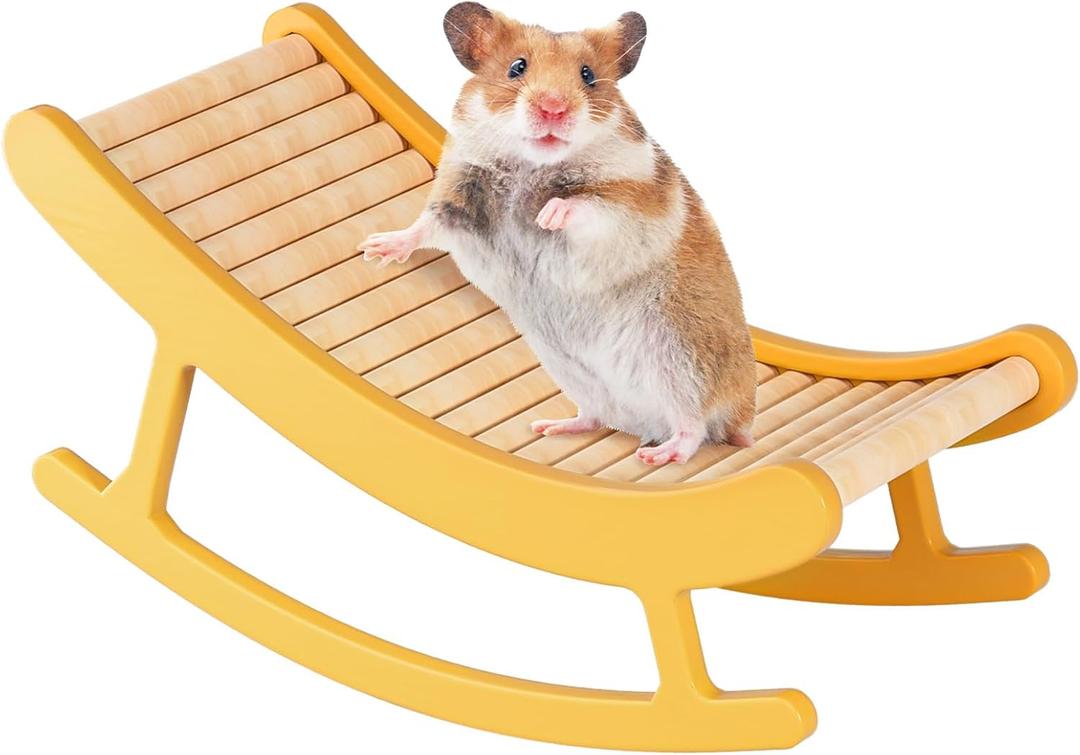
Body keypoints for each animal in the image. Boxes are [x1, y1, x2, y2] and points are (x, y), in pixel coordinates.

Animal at [359, 2, 756, 465]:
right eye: (516, 67)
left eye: (588, 75)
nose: (553, 109)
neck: (532, 164)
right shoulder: (457, 197)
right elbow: (425, 225)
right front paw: (375, 249)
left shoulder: (630, 205)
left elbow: (587, 206)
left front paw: (547, 216)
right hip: (574, 372)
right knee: (597, 416)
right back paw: (551, 426)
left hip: (682, 363)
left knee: (695, 427)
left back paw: (659, 455)